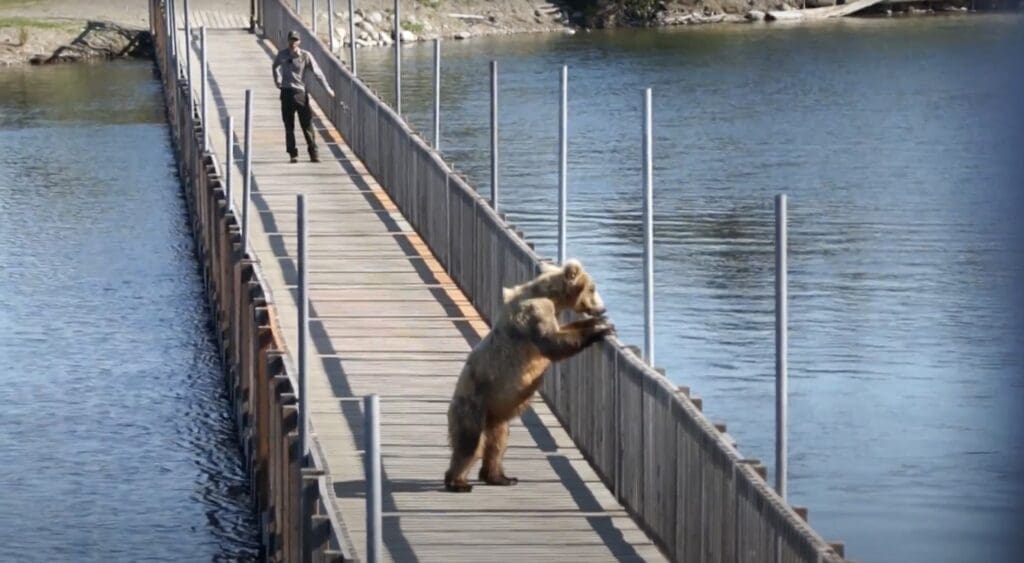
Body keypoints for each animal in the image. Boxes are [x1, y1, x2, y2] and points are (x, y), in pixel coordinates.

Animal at [443, 259, 614, 493]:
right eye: (592, 288)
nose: (603, 308)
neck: (552, 296)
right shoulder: (535, 313)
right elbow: (553, 342)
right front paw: (599, 328)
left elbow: (563, 330)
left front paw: (600, 323)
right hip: (472, 403)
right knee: (469, 443)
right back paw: (458, 482)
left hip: (495, 413)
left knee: (498, 442)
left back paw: (500, 477)